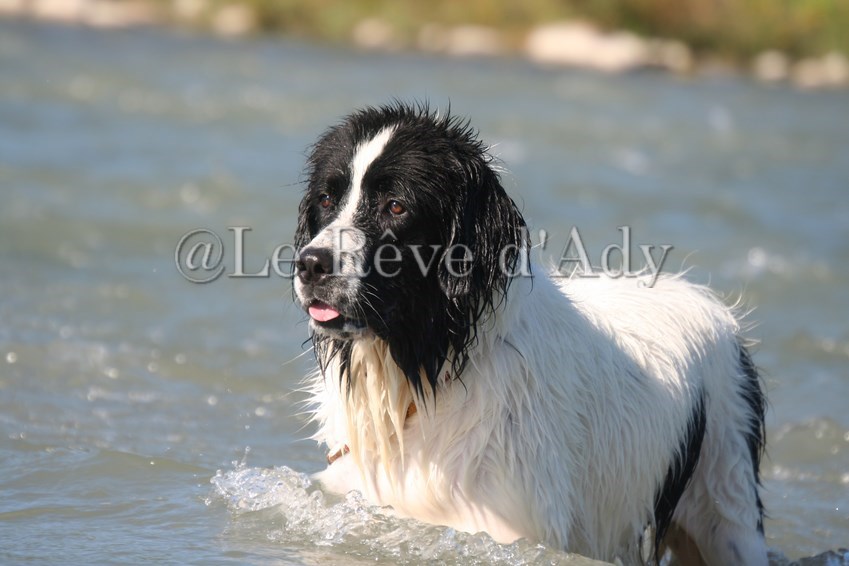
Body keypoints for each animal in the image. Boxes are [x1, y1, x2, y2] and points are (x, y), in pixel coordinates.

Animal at [293, 102, 767, 565]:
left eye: (395, 206)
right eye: (326, 199)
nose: (310, 263)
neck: (428, 373)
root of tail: (708, 302)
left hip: (728, 497)